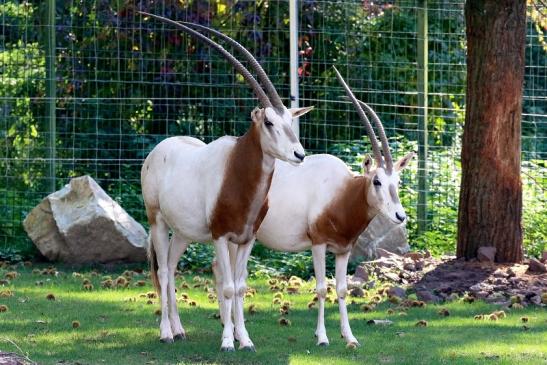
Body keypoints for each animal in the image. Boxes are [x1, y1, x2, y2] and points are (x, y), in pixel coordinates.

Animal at [216, 66, 414, 346]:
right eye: (377, 181)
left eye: (397, 181)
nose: (400, 216)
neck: (341, 192)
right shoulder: (318, 244)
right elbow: (321, 289)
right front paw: (322, 337)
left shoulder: (343, 250)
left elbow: (342, 290)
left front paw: (349, 336)